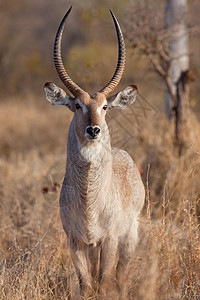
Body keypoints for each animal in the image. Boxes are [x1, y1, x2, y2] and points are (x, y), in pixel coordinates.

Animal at [43, 6, 145, 298]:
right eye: (77, 105)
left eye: (105, 107)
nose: (94, 130)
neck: (90, 203)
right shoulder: (75, 241)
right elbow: (86, 285)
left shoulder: (109, 240)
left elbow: (105, 281)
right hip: (92, 247)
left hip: (128, 238)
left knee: (120, 276)